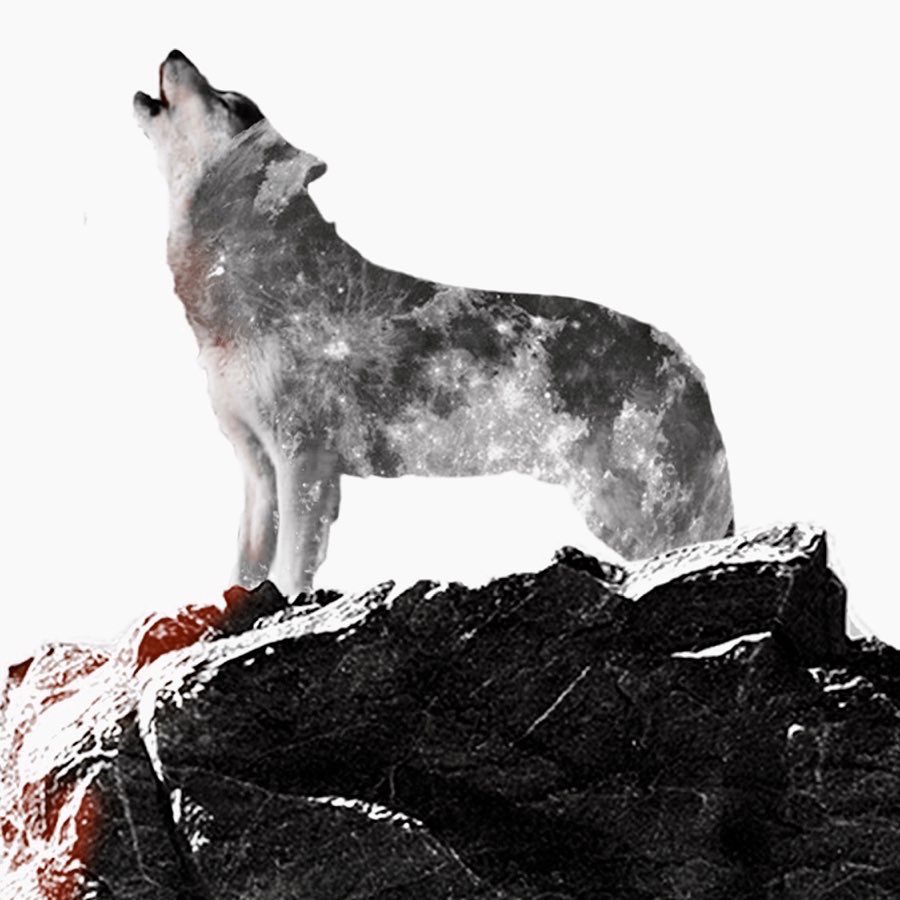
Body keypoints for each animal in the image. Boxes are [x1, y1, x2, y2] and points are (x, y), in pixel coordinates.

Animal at [134, 50, 733, 599]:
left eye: (228, 100)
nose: (175, 51)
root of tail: (694, 368)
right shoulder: (257, 469)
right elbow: (244, 569)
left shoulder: (304, 461)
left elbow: (289, 570)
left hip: (646, 513)